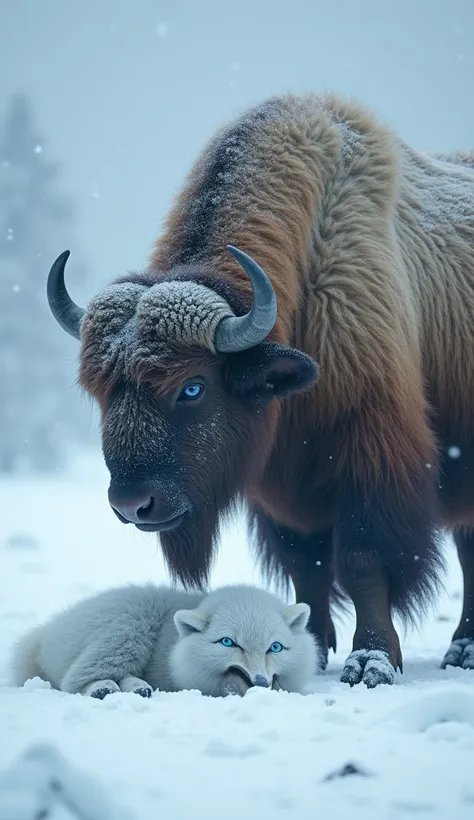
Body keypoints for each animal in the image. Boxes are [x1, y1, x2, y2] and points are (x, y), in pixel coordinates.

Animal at [10, 584, 322, 700]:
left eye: (275, 647)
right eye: (229, 643)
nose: (259, 682)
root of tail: (46, 633)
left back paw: (137, 687)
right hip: (131, 624)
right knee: (73, 679)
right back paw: (105, 687)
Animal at [47, 94, 474, 684]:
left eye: (193, 387)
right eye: (102, 390)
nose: (133, 504)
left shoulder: (371, 458)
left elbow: (363, 562)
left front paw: (370, 662)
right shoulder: (280, 492)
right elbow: (306, 568)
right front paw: (309, 648)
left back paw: (463, 650)